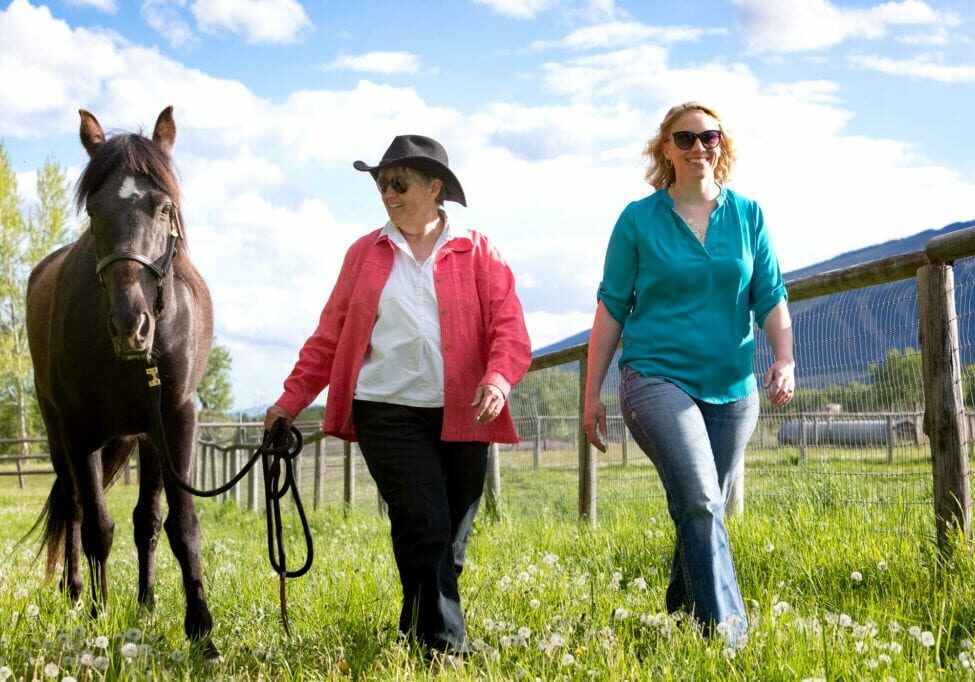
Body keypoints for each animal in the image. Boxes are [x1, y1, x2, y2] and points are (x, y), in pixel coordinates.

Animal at [26, 107, 221, 660]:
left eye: (164, 208)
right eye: (94, 212)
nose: (130, 326)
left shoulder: (175, 419)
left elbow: (180, 525)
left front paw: (201, 631)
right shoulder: (79, 431)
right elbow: (96, 526)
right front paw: (97, 617)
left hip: (146, 438)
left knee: (147, 521)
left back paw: (147, 604)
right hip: (57, 435)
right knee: (72, 508)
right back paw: (75, 594)